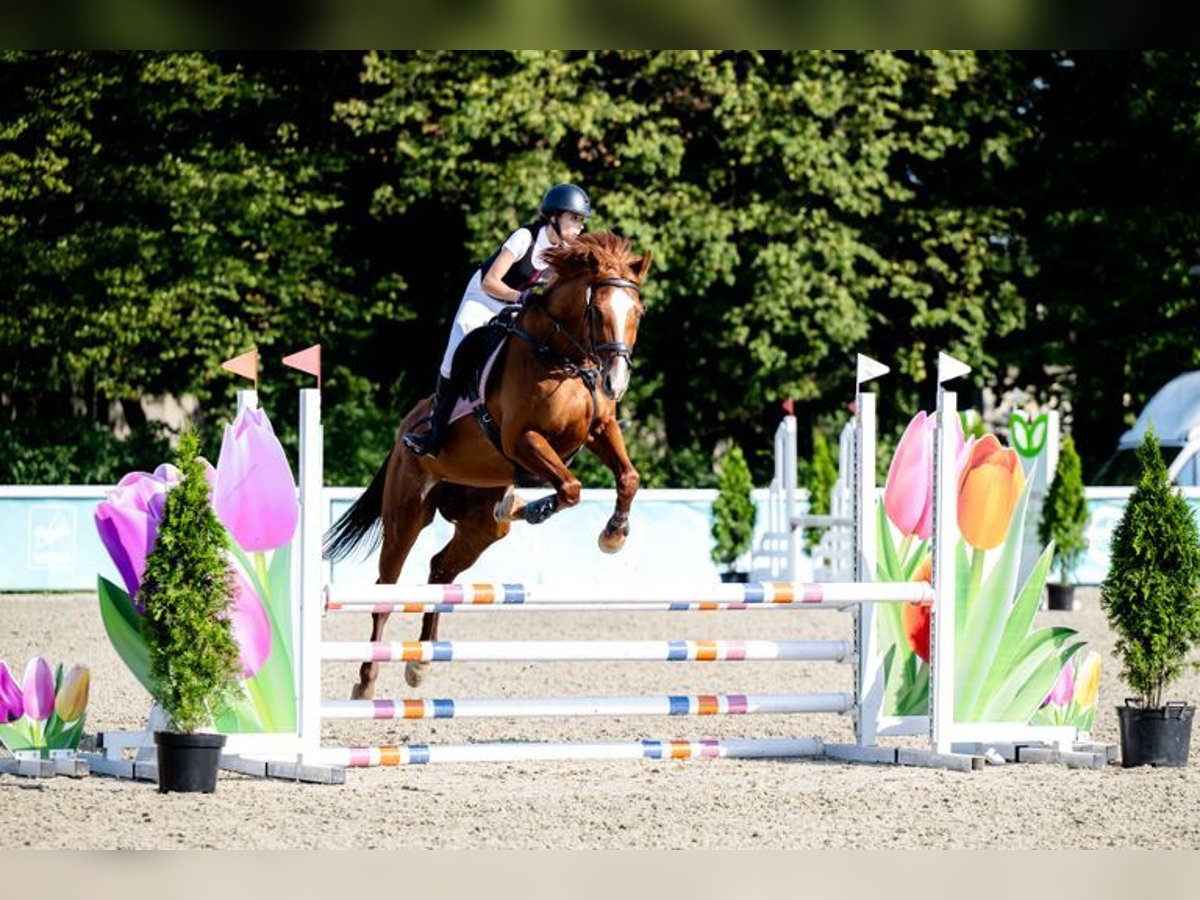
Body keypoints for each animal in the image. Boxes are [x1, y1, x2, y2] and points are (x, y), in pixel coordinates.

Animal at [323, 231, 651, 699]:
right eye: (598, 310)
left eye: (638, 313)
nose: (616, 382)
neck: (562, 358)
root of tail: (404, 429)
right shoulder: (522, 438)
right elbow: (570, 487)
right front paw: (535, 508)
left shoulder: (600, 428)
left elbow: (628, 477)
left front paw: (613, 535)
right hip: (407, 513)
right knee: (386, 588)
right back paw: (367, 681)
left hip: (478, 525)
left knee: (441, 568)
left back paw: (420, 663)